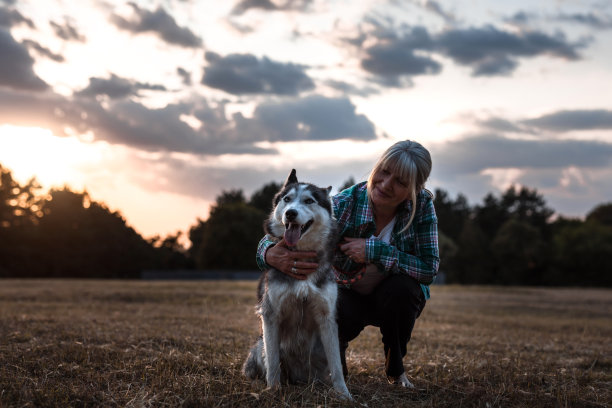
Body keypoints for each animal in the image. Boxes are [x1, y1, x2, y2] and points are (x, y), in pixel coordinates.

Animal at [243, 171, 352, 400]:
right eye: (287, 199)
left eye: (309, 201)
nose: (290, 213)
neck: (300, 253)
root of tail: (299, 378)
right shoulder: (271, 315)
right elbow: (273, 361)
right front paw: (273, 390)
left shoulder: (327, 317)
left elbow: (337, 366)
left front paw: (344, 394)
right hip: (259, 345)